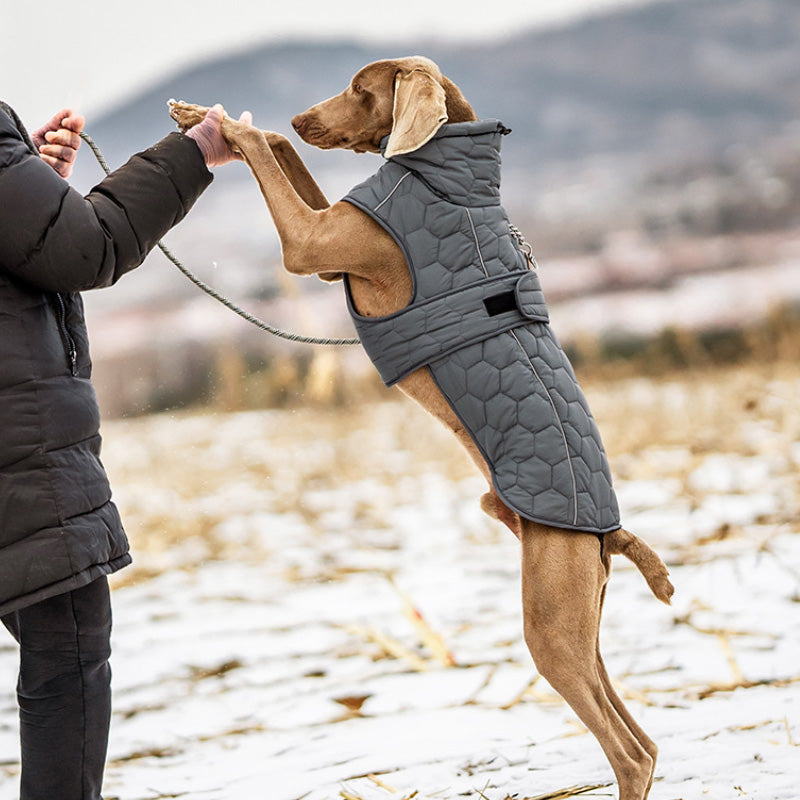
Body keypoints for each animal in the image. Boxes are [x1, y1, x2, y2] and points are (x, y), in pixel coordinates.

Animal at [170, 53, 676, 796]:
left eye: (360, 88)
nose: (300, 114)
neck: (446, 174)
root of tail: (608, 533)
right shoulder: (329, 241)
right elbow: (285, 153)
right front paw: (202, 116)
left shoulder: (311, 244)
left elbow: (265, 153)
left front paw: (225, 127)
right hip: (584, 625)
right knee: (640, 734)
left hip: (551, 624)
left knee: (629, 750)